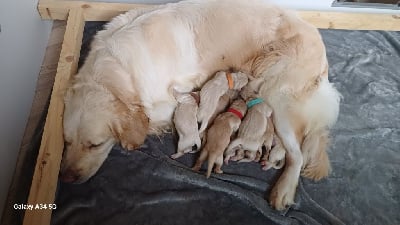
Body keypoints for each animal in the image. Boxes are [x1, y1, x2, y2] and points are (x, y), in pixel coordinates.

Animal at [61, 0, 340, 211]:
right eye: (66, 142)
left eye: (95, 144)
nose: (69, 178)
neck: (114, 69)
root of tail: (321, 47)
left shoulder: (171, 96)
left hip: (277, 92)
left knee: (298, 154)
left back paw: (282, 191)